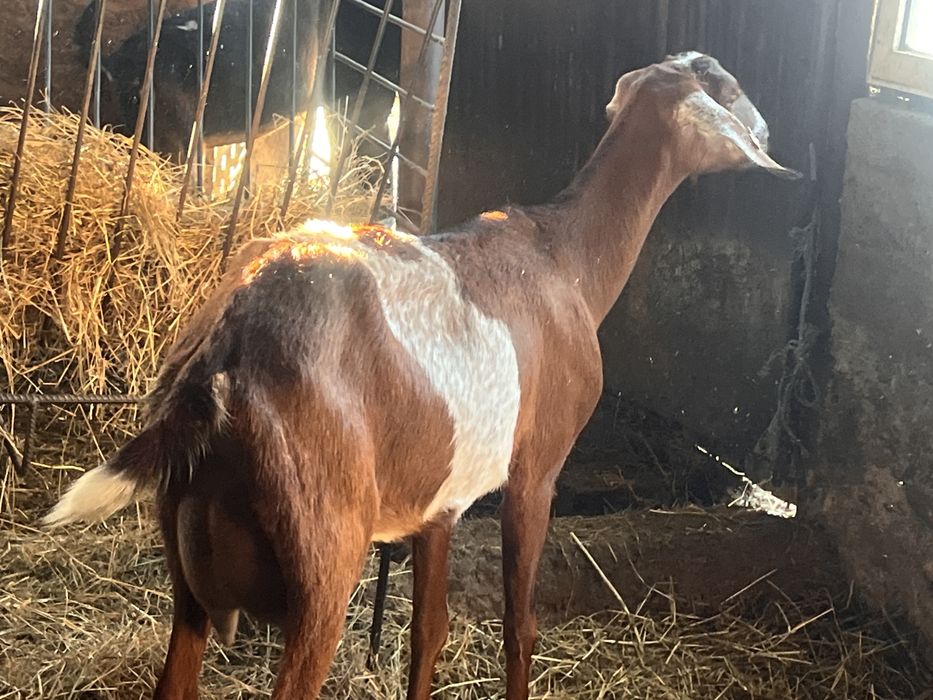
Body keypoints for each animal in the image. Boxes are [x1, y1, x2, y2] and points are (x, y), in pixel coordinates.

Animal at [44, 52, 798, 699]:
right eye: (730, 88)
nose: (768, 131)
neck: (564, 259)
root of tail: (225, 349)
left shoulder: (441, 500)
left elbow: (427, 632)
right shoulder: (536, 471)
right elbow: (519, 628)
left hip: (189, 575)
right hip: (323, 561)